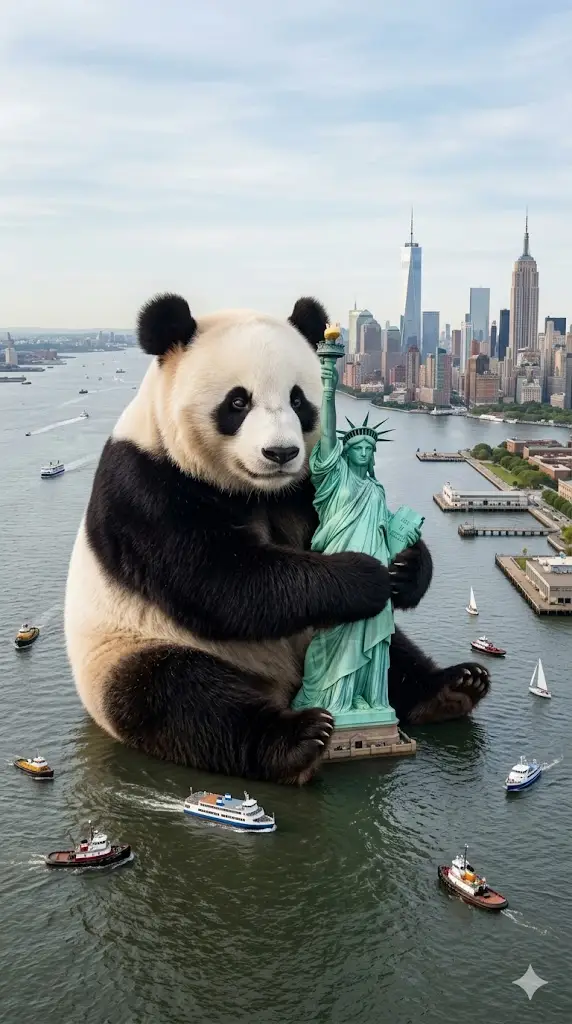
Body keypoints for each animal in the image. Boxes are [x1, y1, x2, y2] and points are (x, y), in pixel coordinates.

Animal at [64, 294, 490, 785]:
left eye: (298, 400)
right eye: (237, 401)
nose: (281, 453)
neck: (252, 490)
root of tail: (284, 686)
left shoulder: (301, 486)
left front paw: (404, 567)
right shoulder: (146, 487)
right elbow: (222, 582)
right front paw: (363, 576)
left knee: (396, 654)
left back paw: (453, 688)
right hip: (128, 651)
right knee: (182, 700)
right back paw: (296, 740)